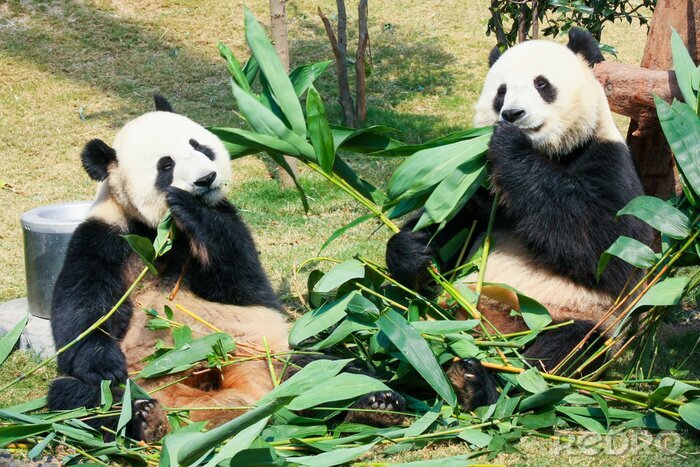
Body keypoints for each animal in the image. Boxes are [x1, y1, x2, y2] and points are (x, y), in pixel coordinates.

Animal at [48, 96, 405, 442]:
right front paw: (104, 364)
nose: (206, 179)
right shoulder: (105, 237)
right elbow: (82, 310)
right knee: (84, 399)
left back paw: (375, 404)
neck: (159, 231)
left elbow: (243, 283)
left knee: (333, 371)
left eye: (199, 146)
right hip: (137, 385)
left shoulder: (227, 221)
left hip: (273, 358)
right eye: (166, 165)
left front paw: (191, 207)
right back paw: (145, 418)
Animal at [386, 28, 652, 406]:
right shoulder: (480, 186)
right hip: (431, 309)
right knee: (384, 307)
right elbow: (452, 228)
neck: (550, 153)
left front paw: (510, 146)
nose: (512, 114)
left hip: (565, 319)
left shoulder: (609, 162)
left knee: (564, 351)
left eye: (542, 84)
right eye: (501, 91)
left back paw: (479, 383)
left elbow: (611, 249)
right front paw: (411, 249)